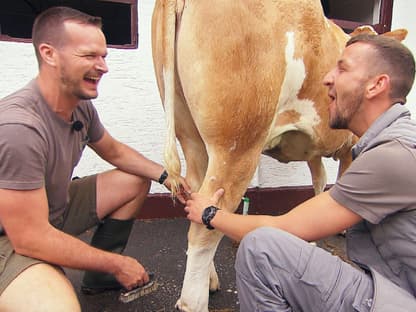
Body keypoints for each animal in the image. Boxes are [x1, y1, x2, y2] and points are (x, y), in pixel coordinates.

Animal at [150, 1, 406, 310]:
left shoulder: (312, 146)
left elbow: (319, 180)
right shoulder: (352, 144)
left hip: (191, 136)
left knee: (195, 198)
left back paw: (210, 281)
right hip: (237, 145)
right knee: (204, 227)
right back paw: (194, 301)